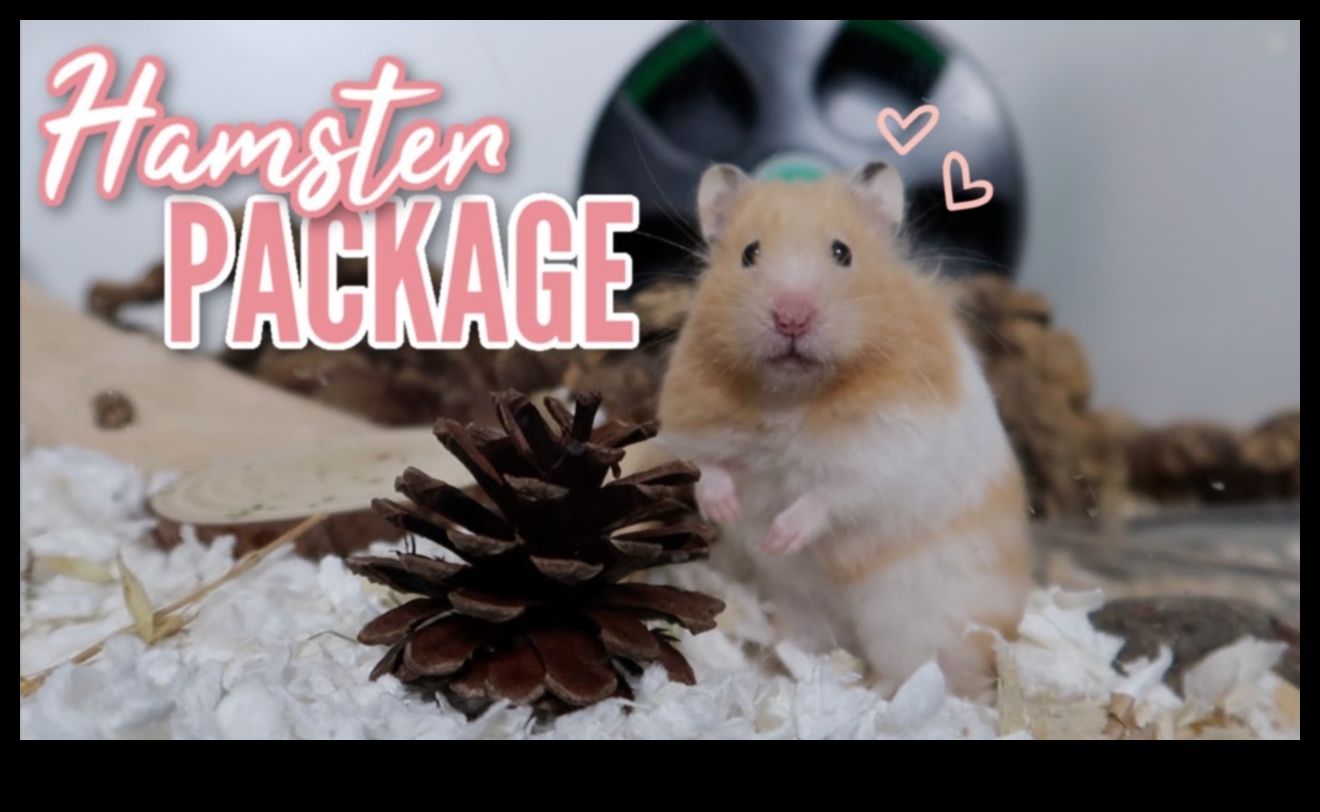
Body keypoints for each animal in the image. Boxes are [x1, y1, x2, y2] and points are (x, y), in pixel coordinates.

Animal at [653, 162, 1033, 699]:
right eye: (749, 253)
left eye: (842, 253)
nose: (791, 317)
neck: (791, 396)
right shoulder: (690, 426)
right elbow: (709, 468)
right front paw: (726, 511)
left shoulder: (889, 453)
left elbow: (832, 493)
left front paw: (780, 537)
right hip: (800, 609)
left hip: (920, 624)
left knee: (926, 670)